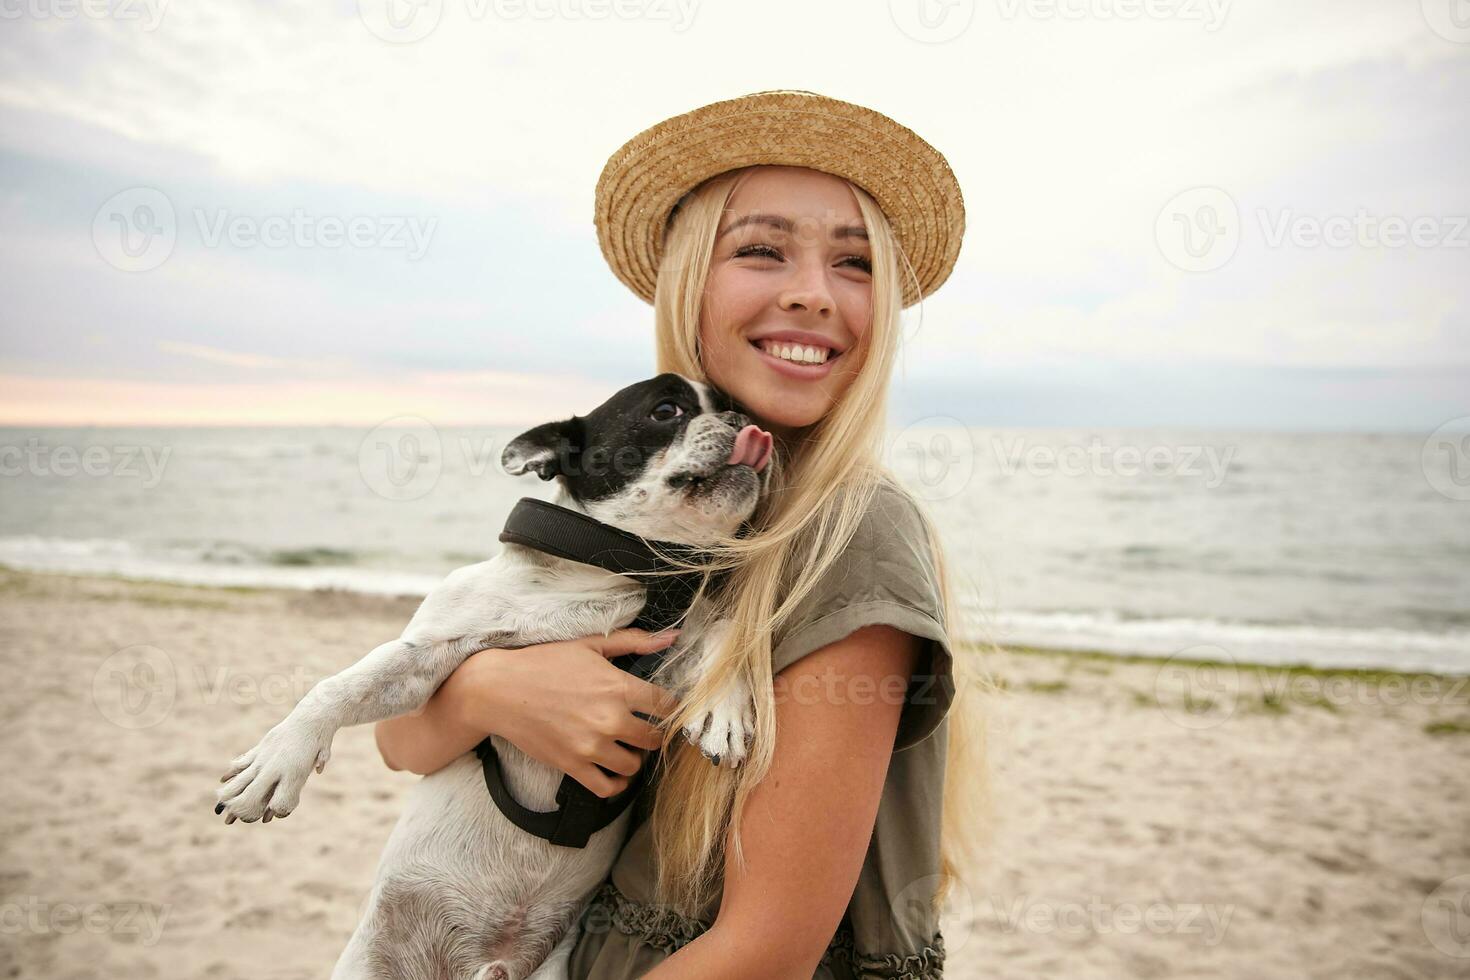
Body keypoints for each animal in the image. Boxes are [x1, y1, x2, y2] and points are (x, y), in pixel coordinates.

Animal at [216, 373, 776, 980]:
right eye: (666, 410)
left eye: (729, 404)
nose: (743, 417)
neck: (613, 579)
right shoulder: (427, 657)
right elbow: (341, 685)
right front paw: (278, 761)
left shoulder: (664, 664)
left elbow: (722, 631)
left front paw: (724, 710)